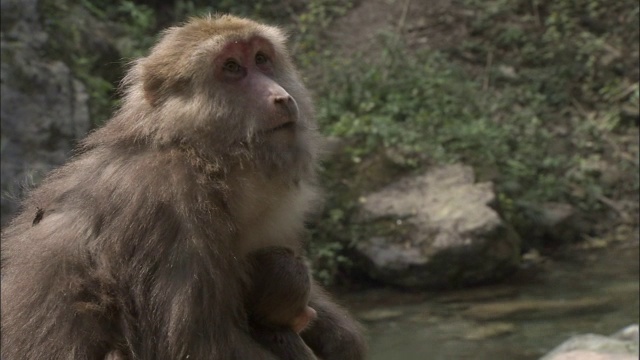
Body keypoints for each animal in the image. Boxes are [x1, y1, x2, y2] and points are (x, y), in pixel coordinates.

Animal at [0, 14, 364, 360]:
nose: (280, 97)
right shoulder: (167, 205)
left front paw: (340, 337)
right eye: (232, 67)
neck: (202, 157)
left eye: (262, 59)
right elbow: (196, 344)